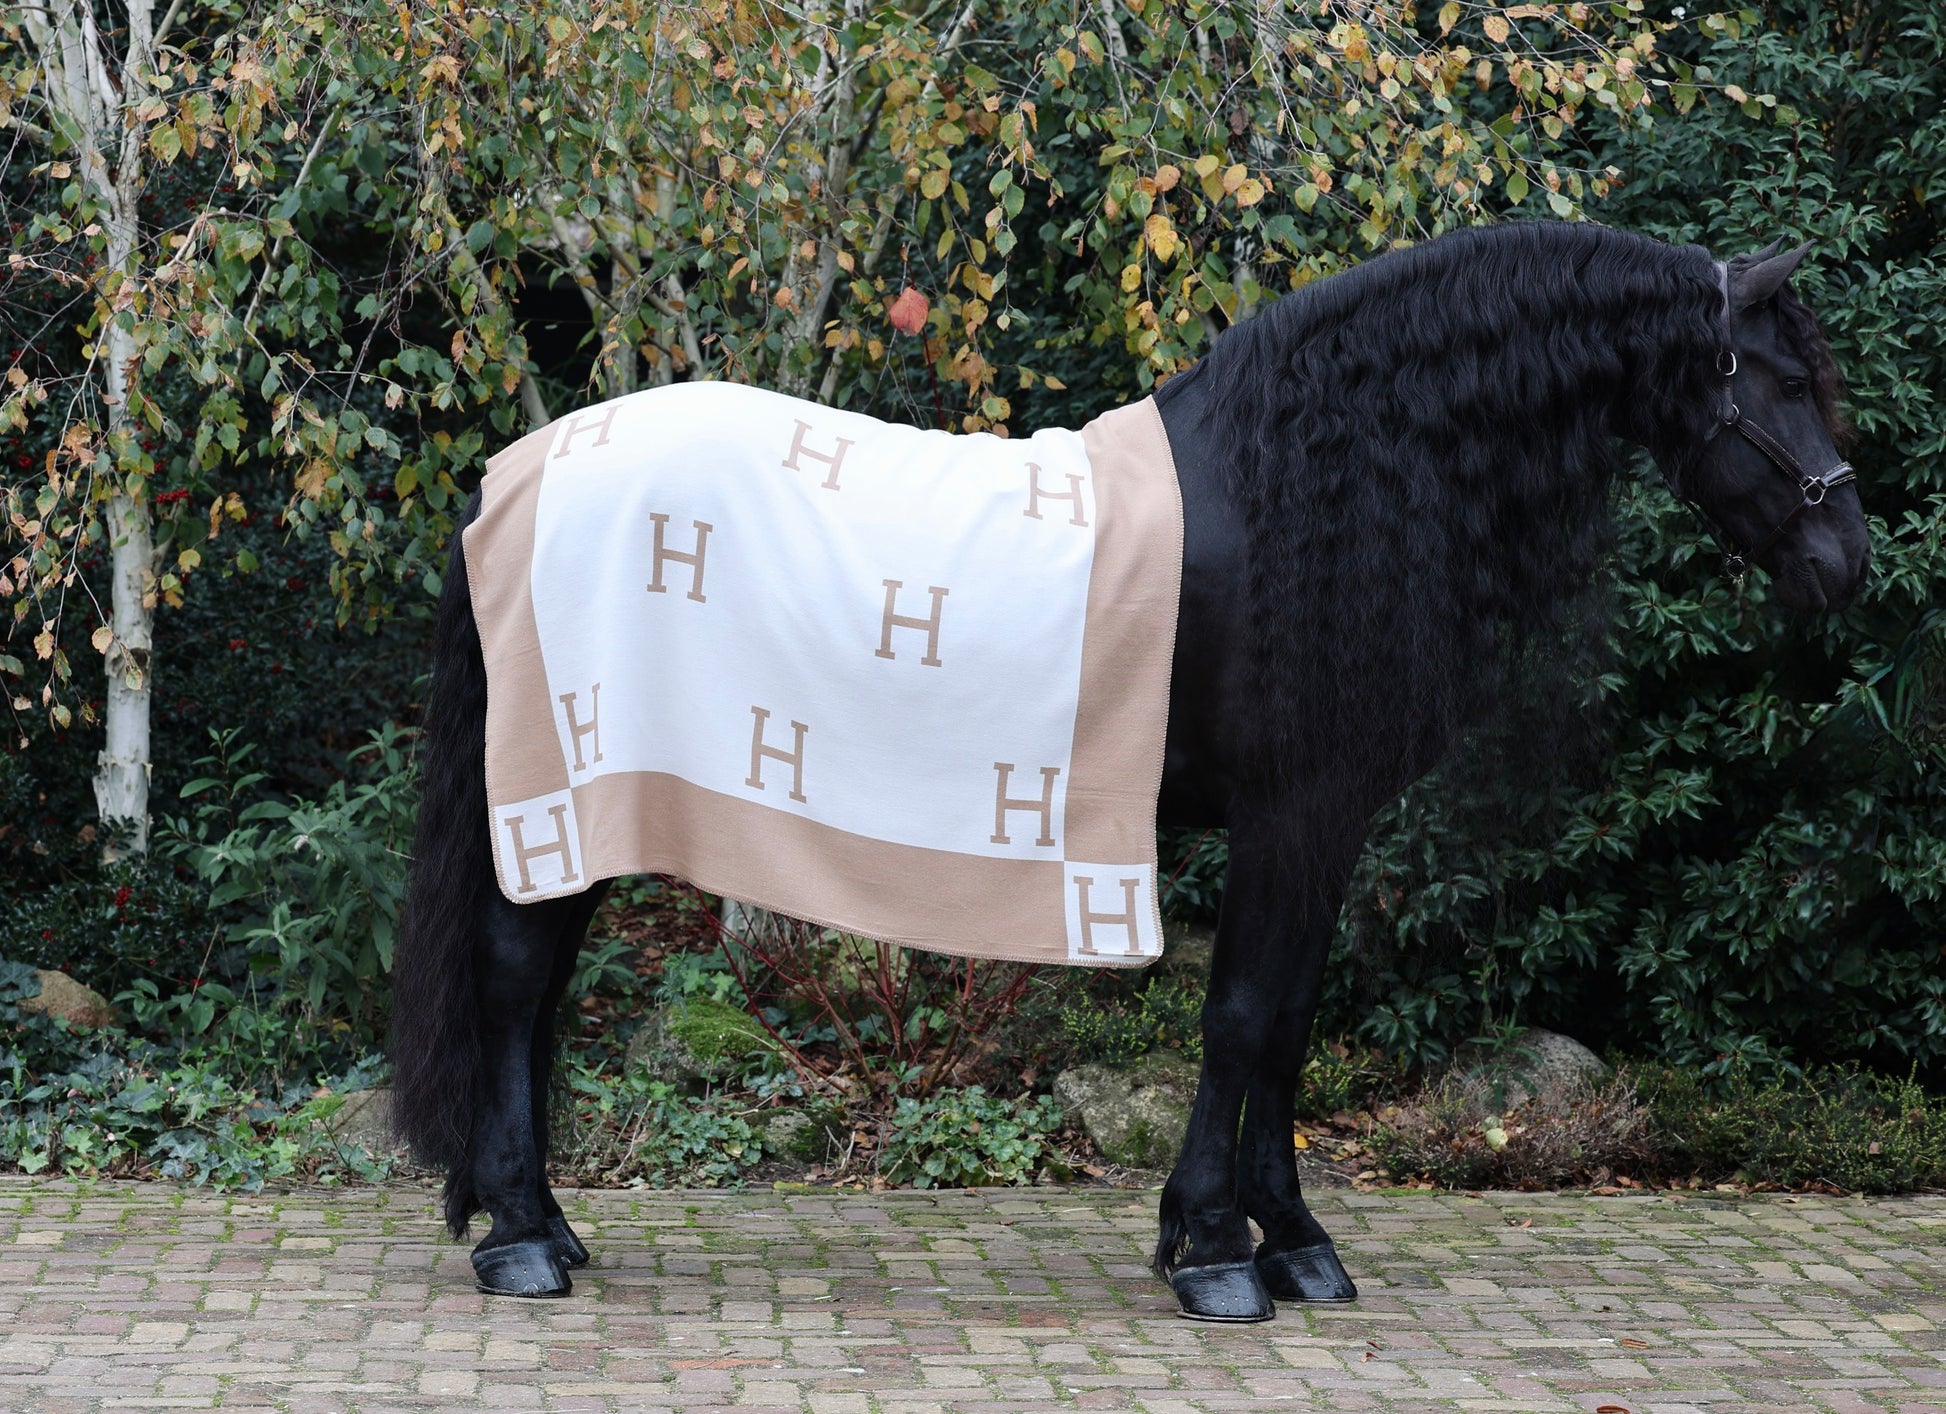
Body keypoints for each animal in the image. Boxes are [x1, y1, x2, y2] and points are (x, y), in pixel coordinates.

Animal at [390, 220, 1870, 1318]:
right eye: (1780, 379)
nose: (1844, 563)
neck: (1304, 486)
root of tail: (513, 475)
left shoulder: (1319, 828)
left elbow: (1286, 1026)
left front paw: (1287, 1238)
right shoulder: (1289, 815)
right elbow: (1249, 1018)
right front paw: (1218, 1251)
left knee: (529, 994)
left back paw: (548, 1228)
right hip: (565, 796)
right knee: (515, 984)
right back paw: (518, 1242)